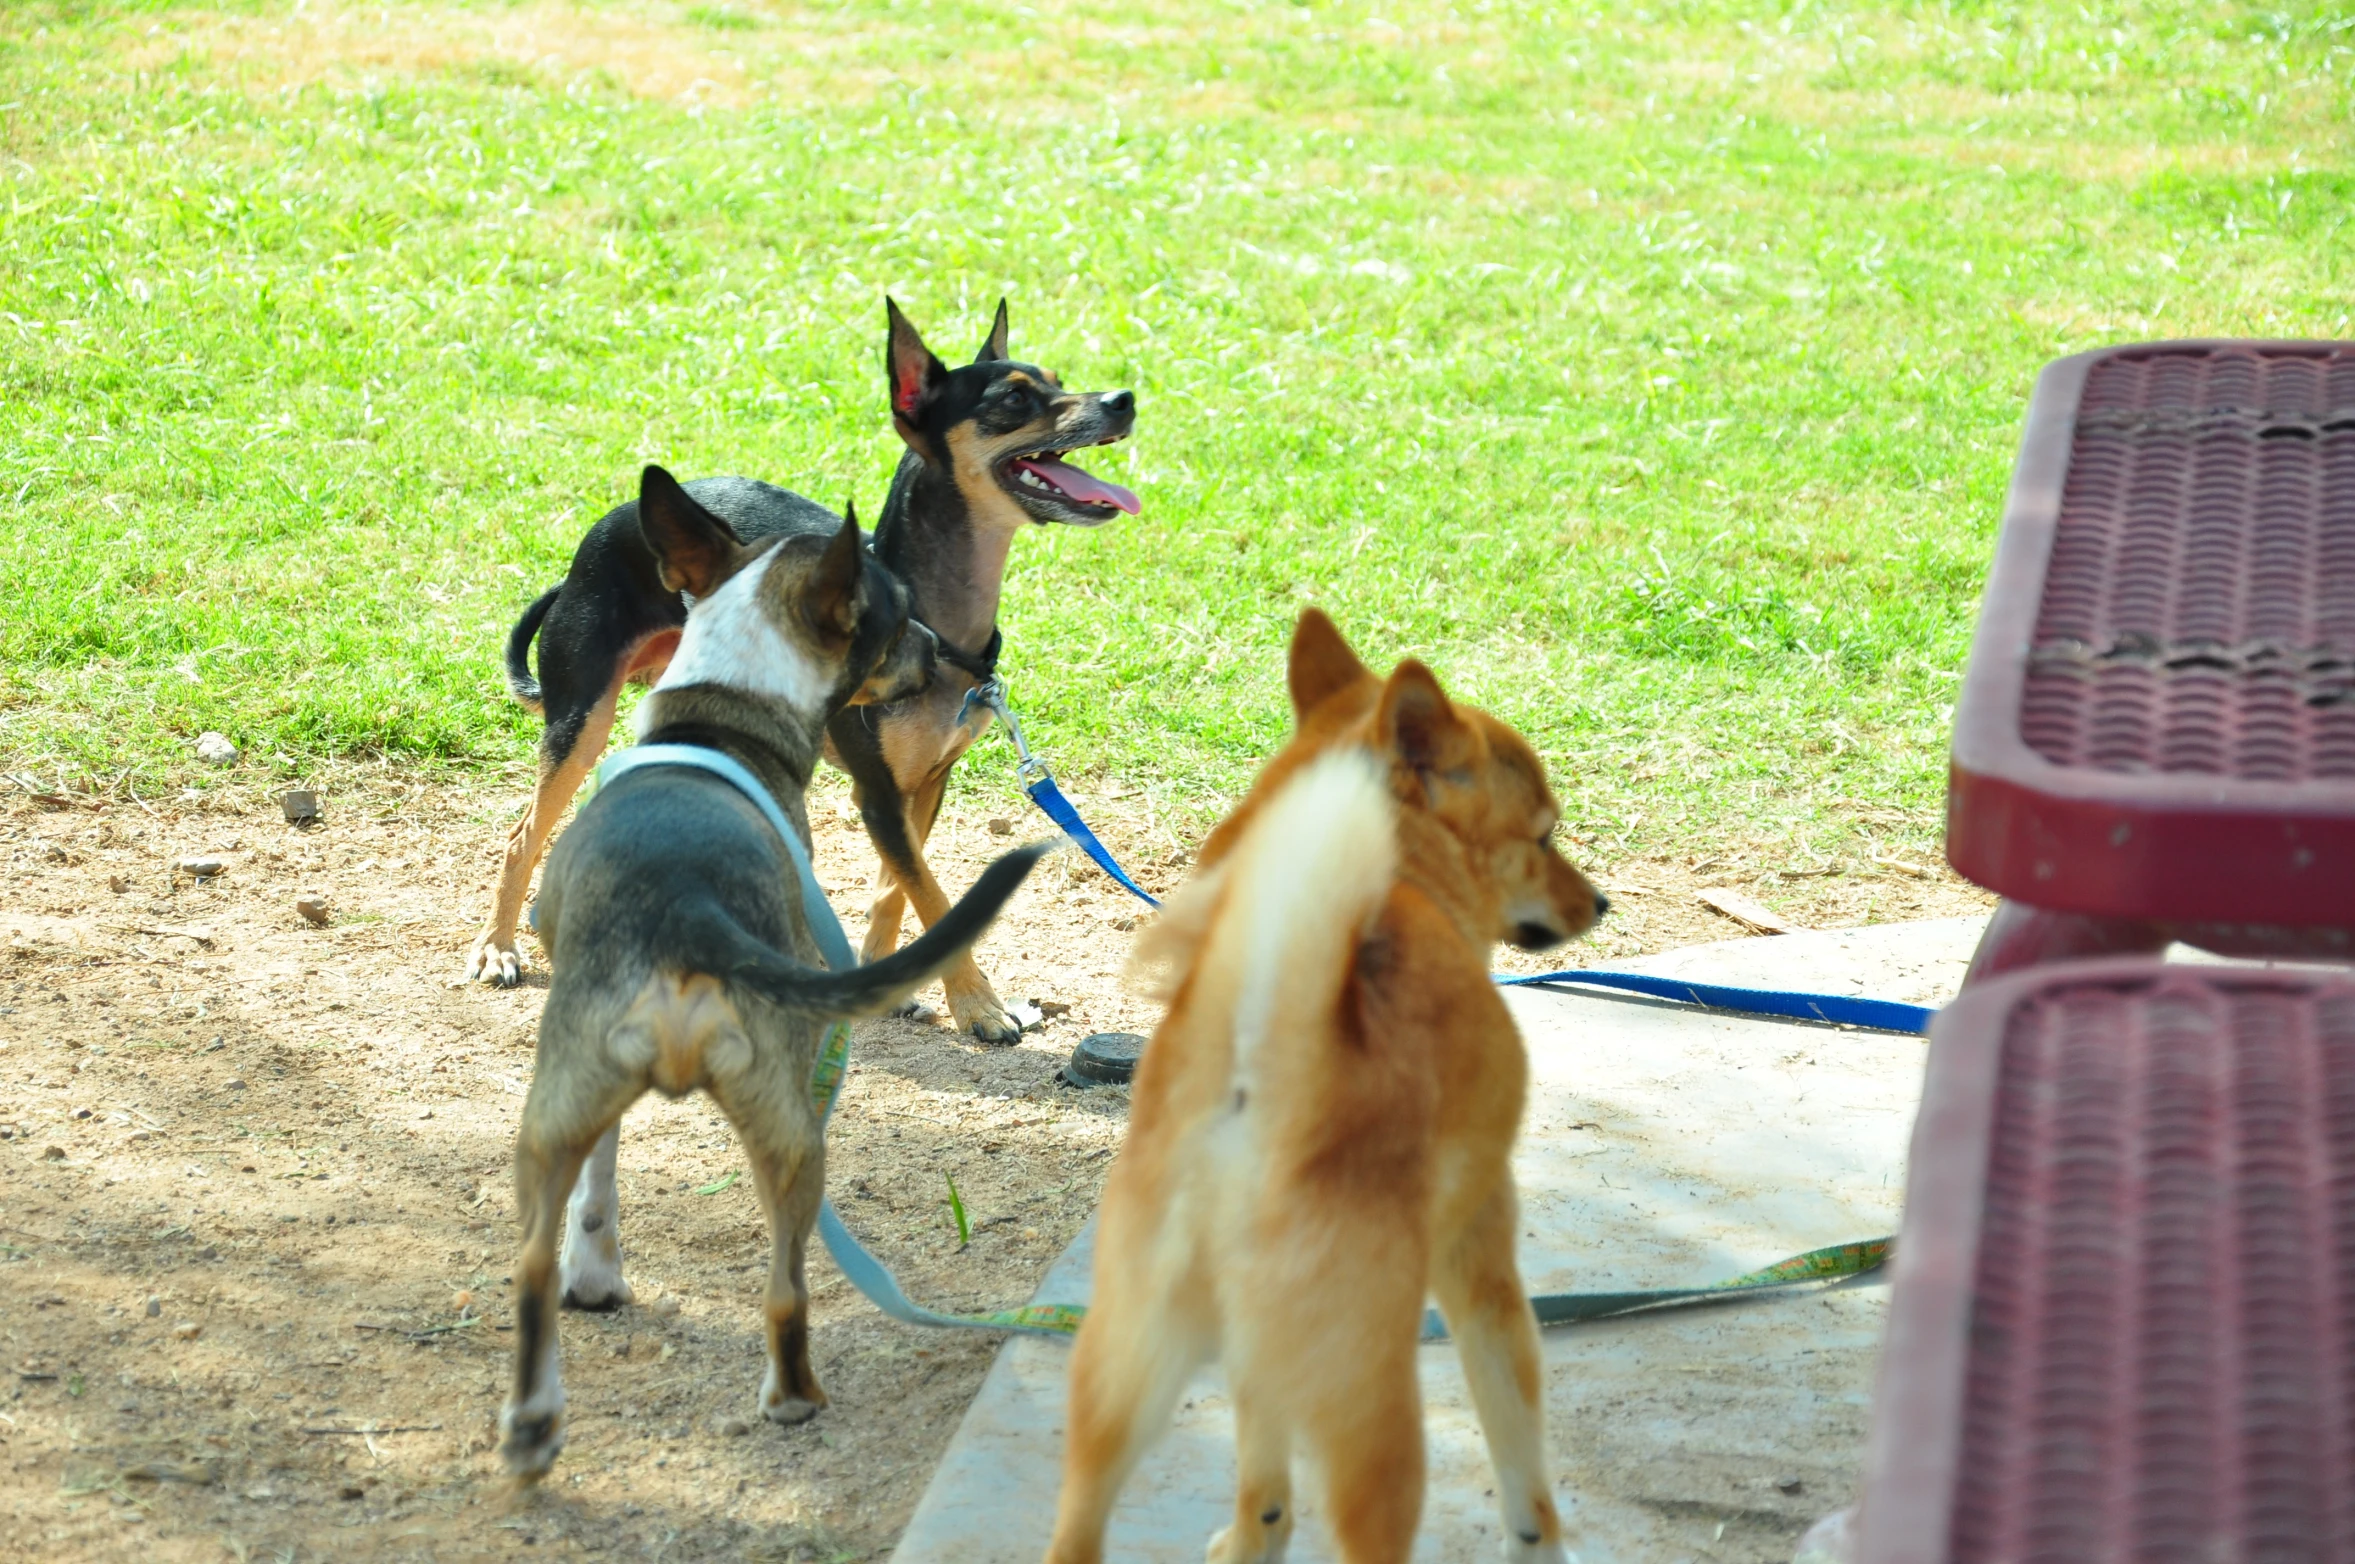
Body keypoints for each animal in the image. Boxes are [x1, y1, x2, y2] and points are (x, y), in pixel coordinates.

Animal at [473, 299, 1135, 1045]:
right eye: (1015, 398)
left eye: (1059, 380)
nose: (1124, 399)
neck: (939, 621)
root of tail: (606, 526)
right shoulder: (877, 792)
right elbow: (933, 893)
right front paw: (979, 1005)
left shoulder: (924, 785)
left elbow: (897, 887)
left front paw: (893, 981)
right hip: (582, 723)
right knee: (522, 837)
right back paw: (499, 946)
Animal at [503, 464, 1050, 1479]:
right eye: (896, 616)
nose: (939, 657)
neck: (718, 712)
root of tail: (686, 917)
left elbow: (599, 1185)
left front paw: (594, 1273)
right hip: (793, 1130)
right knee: (786, 1288)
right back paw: (791, 1397)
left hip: (567, 1114)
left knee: (533, 1265)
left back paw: (539, 1412)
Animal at [1045, 612, 1601, 1564]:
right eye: (1545, 836)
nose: (1597, 903)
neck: (1408, 876)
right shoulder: (1481, 1264)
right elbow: (1521, 1457)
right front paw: (1541, 1543)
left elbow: (1263, 1482)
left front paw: (1249, 1540)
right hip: (1374, 1416)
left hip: (1123, 1375)